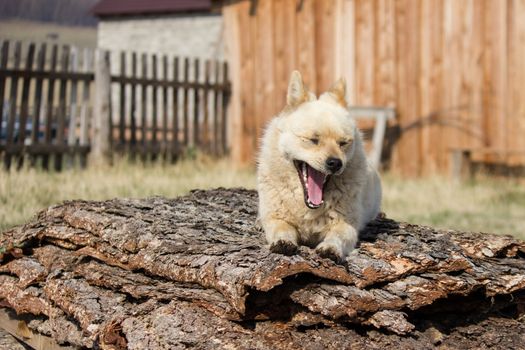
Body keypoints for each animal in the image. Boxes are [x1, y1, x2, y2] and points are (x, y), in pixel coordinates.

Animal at [255, 71, 380, 262]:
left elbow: (338, 236)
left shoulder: (346, 225)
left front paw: (330, 248)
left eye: (343, 143)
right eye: (313, 140)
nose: (335, 163)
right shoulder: (276, 218)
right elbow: (281, 228)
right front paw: (283, 241)